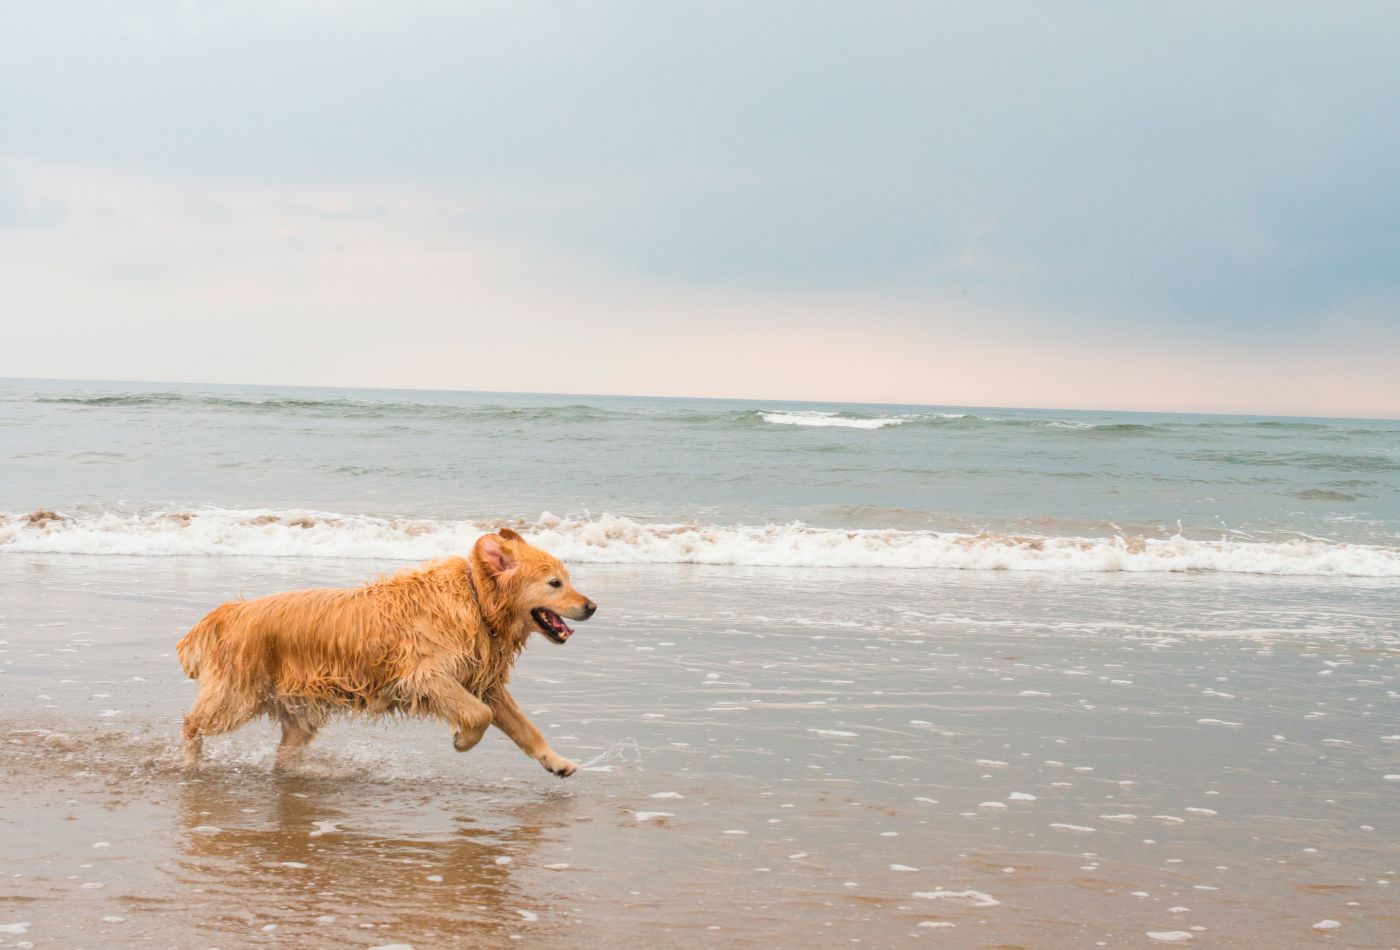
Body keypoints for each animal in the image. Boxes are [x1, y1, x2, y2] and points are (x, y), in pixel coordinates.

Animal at [175, 531, 596, 777]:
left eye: (567, 579)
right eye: (555, 583)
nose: (592, 606)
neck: (476, 599)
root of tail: (231, 612)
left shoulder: (484, 682)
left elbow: (525, 728)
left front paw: (557, 762)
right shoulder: (426, 677)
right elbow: (480, 714)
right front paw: (462, 740)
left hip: (298, 714)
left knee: (284, 755)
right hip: (237, 697)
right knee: (192, 723)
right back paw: (190, 763)